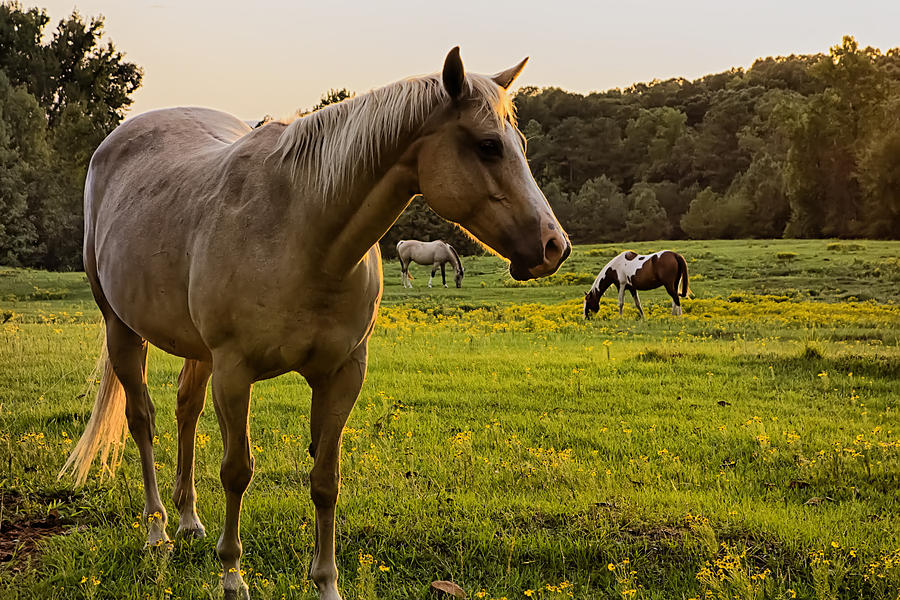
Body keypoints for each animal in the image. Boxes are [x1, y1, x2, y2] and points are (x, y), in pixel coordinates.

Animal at [59, 48, 568, 600]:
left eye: (519, 145)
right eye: (489, 146)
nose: (554, 246)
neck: (303, 232)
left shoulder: (342, 374)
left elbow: (326, 479)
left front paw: (326, 583)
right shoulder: (234, 372)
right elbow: (237, 471)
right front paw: (232, 576)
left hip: (196, 351)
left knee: (185, 411)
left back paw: (189, 520)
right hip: (122, 329)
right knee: (143, 420)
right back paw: (157, 532)